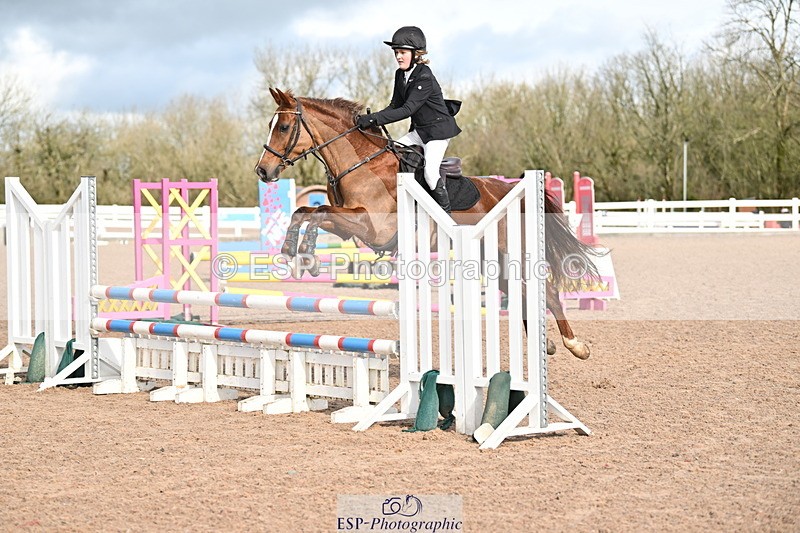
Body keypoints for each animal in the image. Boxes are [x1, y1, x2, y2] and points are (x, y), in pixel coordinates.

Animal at [254, 87, 599, 359]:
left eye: (283, 126)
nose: (263, 171)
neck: (359, 163)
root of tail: (512, 190)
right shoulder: (348, 223)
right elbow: (306, 211)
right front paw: (292, 250)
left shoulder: (374, 228)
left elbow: (318, 212)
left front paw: (307, 255)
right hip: (492, 260)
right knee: (522, 292)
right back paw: (547, 345)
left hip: (511, 253)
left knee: (547, 291)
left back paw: (575, 345)